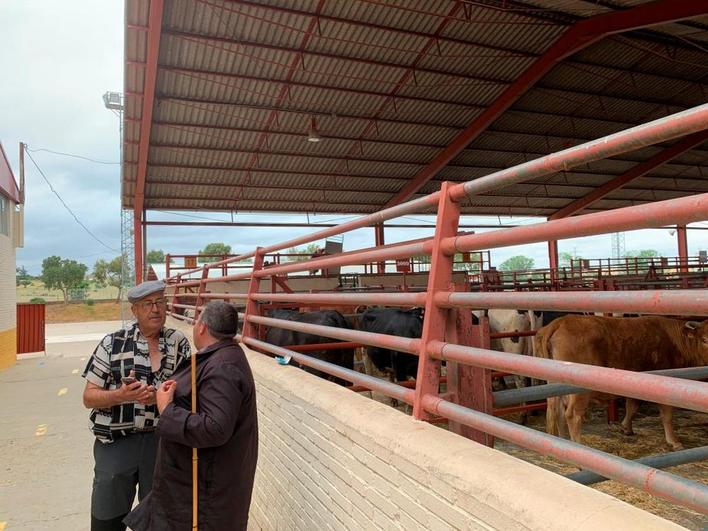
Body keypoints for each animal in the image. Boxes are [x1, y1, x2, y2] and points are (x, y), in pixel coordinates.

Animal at [536, 318, 708, 450]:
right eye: (705, 340)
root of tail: (559, 322)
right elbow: (667, 415)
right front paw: (674, 441)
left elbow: (632, 406)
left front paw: (626, 428)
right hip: (579, 391)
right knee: (572, 415)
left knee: (557, 412)